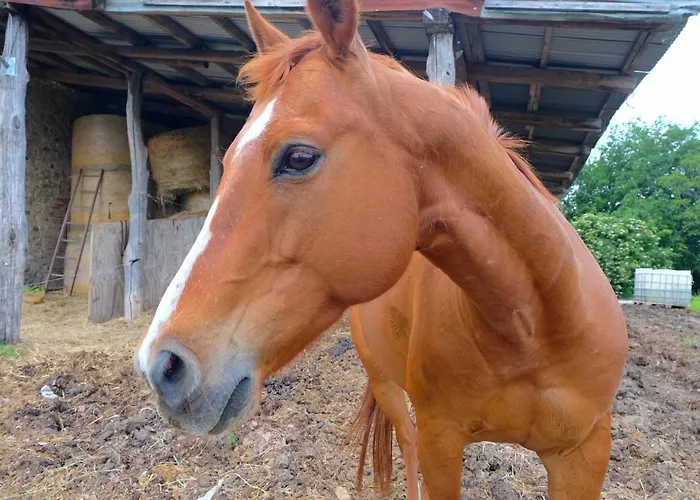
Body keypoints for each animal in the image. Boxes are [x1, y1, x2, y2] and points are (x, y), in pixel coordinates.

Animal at [133, 0, 629, 498]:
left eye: (299, 157)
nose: (162, 367)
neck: (532, 327)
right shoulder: (440, 442)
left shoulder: (584, 456)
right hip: (389, 388)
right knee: (405, 443)